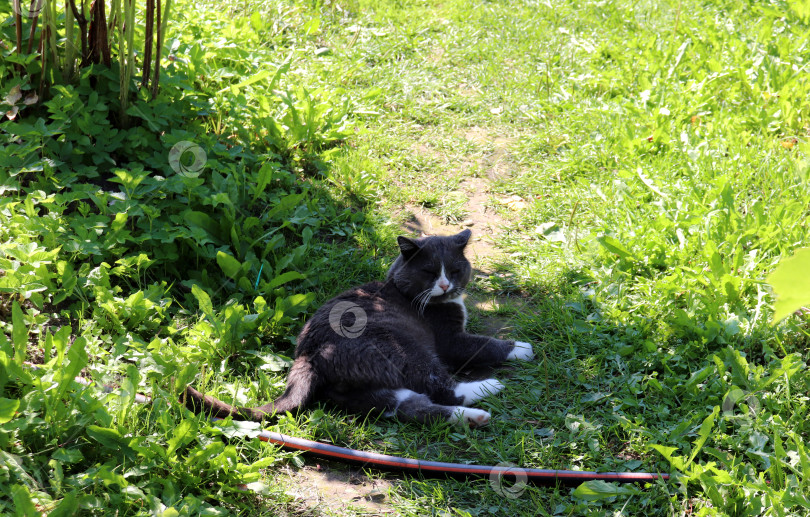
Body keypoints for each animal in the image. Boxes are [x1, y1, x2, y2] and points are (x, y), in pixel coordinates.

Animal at [186, 228, 532, 426]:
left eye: (456, 270)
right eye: (430, 271)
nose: (446, 285)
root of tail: (309, 357)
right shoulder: (449, 339)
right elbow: (480, 344)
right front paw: (523, 348)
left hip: (365, 389)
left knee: (410, 407)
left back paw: (475, 418)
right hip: (402, 348)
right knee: (440, 387)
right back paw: (488, 387)